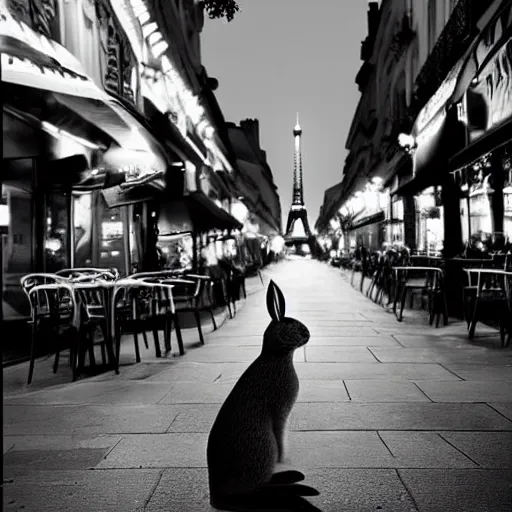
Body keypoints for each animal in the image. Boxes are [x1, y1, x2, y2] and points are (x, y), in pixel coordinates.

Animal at [207, 282, 320, 510]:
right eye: (292, 325)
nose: (308, 334)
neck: (276, 356)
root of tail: (216, 494)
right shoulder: (280, 411)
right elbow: (280, 434)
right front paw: (284, 459)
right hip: (264, 447)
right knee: (256, 489)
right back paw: (295, 486)